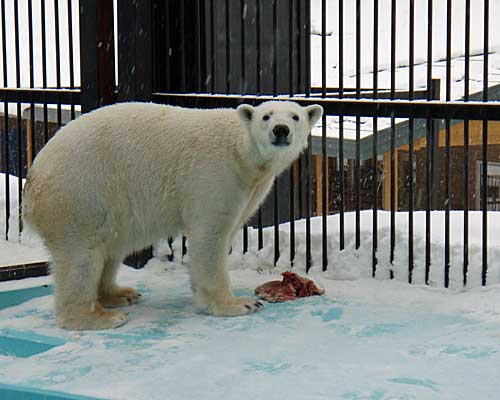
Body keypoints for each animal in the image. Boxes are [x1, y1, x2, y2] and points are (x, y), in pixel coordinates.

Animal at [21, 101, 322, 330]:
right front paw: (238, 303)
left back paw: (121, 294)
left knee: (109, 248)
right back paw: (99, 317)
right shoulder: (215, 174)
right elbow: (210, 235)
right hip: (80, 195)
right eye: (266, 116)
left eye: (295, 116)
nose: (281, 130)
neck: (241, 152)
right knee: (82, 256)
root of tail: (33, 179)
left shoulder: (250, 187)